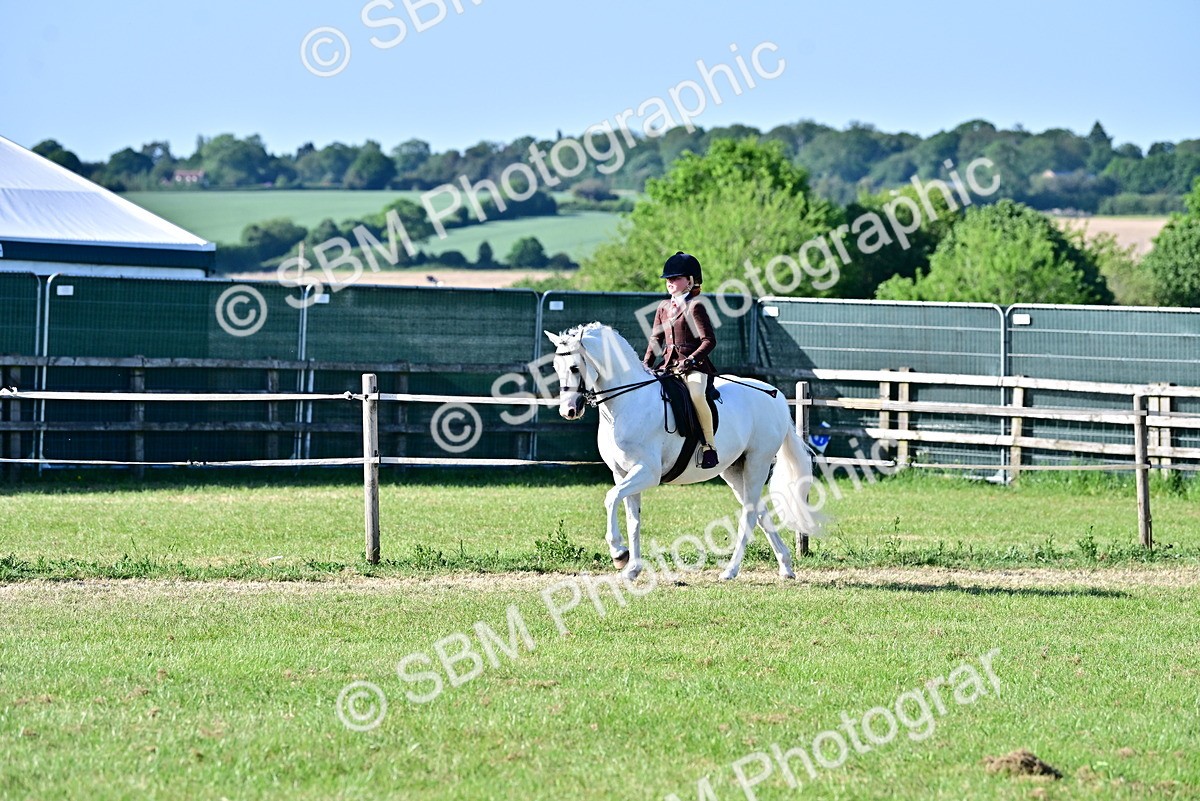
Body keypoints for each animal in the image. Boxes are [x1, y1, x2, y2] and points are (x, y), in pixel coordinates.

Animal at [544, 322, 822, 581]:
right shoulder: (622, 473)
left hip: (757, 462)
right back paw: (785, 567)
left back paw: (731, 571)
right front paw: (632, 569)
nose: (568, 411)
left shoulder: (647, 472)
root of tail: (776, 397)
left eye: (575, 367)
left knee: (751, 514)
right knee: (760, 511)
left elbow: (611, 498)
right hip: (734, 470)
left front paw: (618, 553)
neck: (626, 403)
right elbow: (633, 520)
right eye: (556, 368)